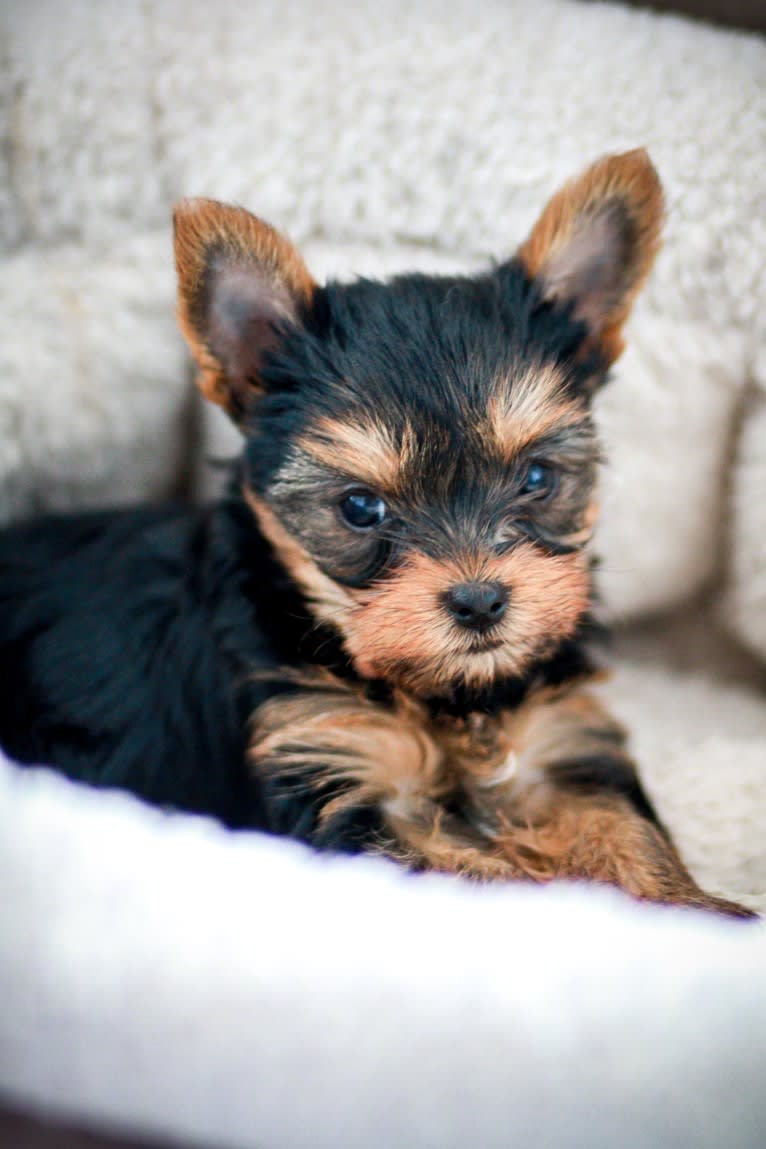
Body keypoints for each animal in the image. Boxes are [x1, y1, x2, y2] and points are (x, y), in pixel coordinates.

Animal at [0, 150, 753, 914]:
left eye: (537, 477)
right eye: (360, 509)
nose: (480, 601)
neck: (445, 696)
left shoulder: (556, 742)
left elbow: (624, 828)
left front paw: (694, 910)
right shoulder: (338, 779)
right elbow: (486, 877)